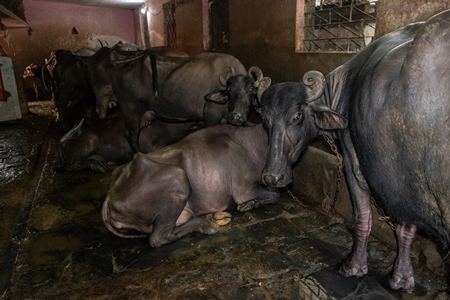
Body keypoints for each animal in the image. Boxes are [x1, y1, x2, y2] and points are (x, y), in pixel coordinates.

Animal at [102, 122, 280, 246]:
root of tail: (110, 193)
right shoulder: (244, 189)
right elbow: (274, 195)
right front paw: (250, 204)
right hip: (177, 178)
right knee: (159, 238)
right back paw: (206, 223)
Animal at [109, 51, 268, 152]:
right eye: (229, 89)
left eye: (251, 90)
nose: (236, 117)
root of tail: (121, 65)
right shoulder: (211, 116)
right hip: (131, 112)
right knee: (132, 135)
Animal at [256, 9, 450, 292]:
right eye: (264, 120)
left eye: (297, 116)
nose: (272, 177)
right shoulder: (404, 182)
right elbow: (406, 229)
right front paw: (402, 277)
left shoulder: (355, 163)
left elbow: (362, 219)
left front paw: (354, 266)